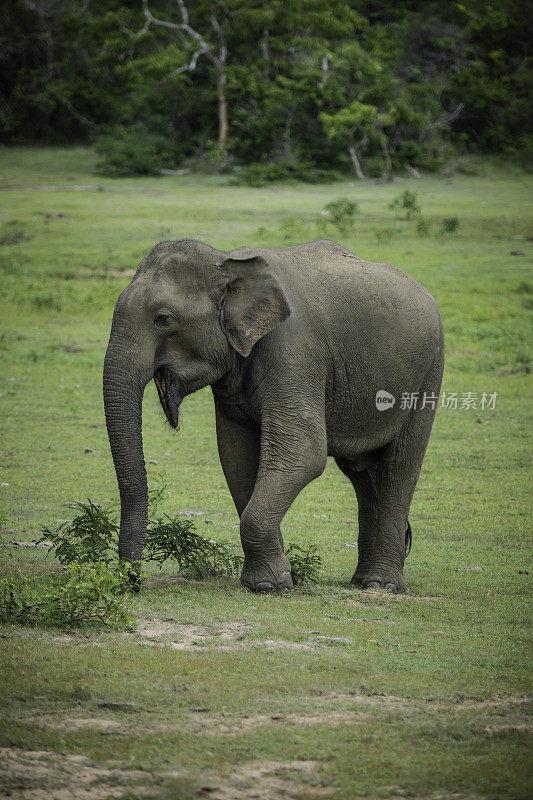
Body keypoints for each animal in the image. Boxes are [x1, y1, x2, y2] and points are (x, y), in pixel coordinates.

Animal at [102, 238, 442, 592]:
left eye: (163, 319)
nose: (133, 583)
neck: (225, 261)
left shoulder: (295, 352)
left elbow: (303, 453)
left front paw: (268, 586)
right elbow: (237, 456)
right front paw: (272, 581)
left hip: (428, 373)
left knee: (398, 466)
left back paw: (381, 585)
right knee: (361, 473)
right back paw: (363, 580)